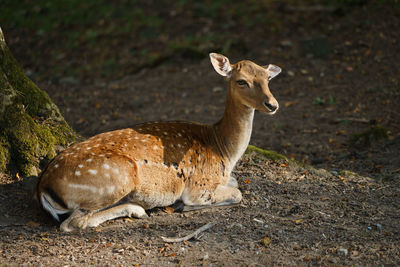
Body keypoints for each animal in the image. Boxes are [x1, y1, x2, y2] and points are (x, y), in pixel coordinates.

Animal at [36, 52, 282, 232]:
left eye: (267, 79)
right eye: (242, 81)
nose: (273, 105)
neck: (224, 151)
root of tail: (43, 186)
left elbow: (236, 183)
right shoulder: (198, 187)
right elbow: (237, 193)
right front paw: (184, 206)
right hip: (117, 177)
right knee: (72, 223)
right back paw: (137, 209)